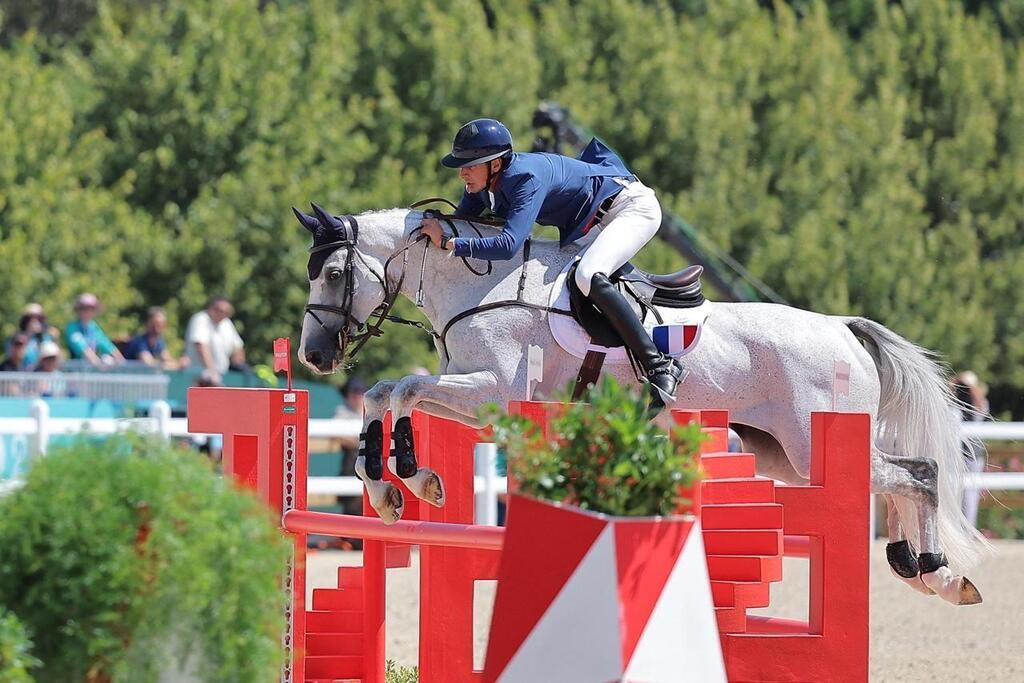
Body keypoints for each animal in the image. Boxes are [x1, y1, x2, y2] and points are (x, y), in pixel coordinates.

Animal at [294, 201, 983, 602]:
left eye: (333, 274)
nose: (314, 356)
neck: (476, 283)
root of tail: (843, 327)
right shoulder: (476, 395)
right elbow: (383, 393)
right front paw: (393, 489)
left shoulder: (495, 390)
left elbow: (404, 388)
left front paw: (411, 477)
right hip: (783, 455)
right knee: (899, 481)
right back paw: (917, 566)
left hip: (816, 444)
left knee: (919, 473)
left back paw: (938, 571)